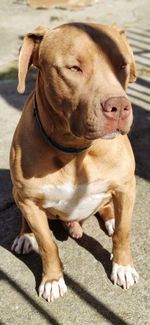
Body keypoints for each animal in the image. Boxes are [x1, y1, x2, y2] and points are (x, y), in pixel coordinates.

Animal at [9, 22, 139, 302]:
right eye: (73, 68)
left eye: (122, 65)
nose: (119, 107)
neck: (74, 151)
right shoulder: (29, 200)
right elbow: (47, 244)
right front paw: (52, 280)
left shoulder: (126, 187)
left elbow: (123, 232)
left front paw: (122, 267)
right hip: (18, 196)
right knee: (26, 222)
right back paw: (25, 236)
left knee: (109, 210)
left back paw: (110, 218)